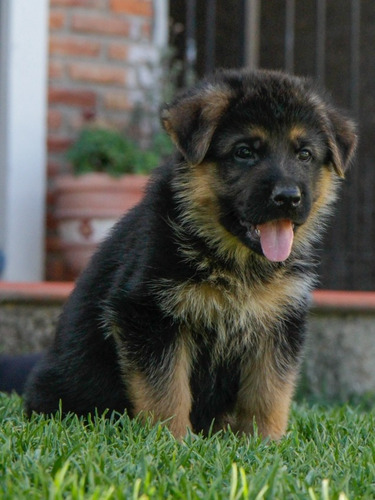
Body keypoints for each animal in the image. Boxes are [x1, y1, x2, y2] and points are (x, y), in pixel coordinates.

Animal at [23, 69, 358, 438]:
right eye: (244, 152)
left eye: (305, 155)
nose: (288, 197)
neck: (236, 263)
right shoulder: (149, 316)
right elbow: (167, 390)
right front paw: (172, 439)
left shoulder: (280, 325)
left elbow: (269, 391)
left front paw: (265, 441)